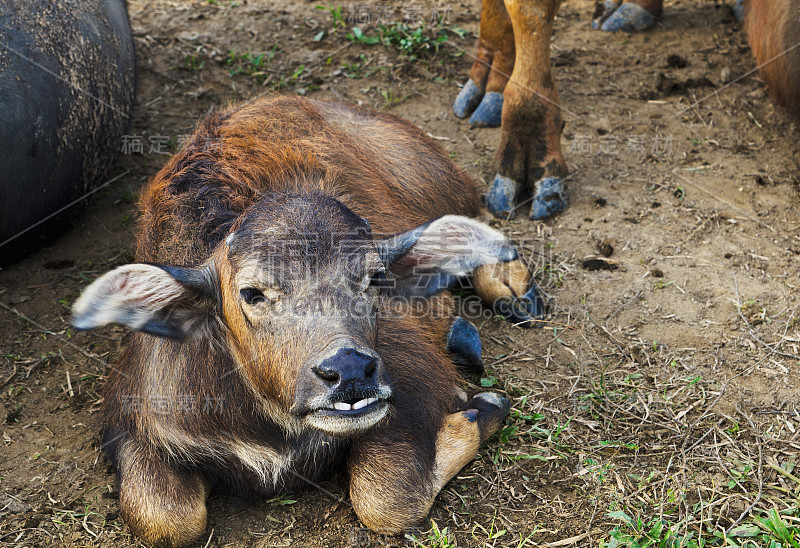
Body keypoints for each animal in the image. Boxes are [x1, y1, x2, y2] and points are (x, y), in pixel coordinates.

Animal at [72, 96, 544, 544]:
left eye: (374, 277)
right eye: (252, 293)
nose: (350, 371)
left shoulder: (413, 382)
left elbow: (386, 498)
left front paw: (485, 406)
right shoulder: (134, 426)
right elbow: (165, 519)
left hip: (437, 182)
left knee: (479, 215)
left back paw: (510, 288)